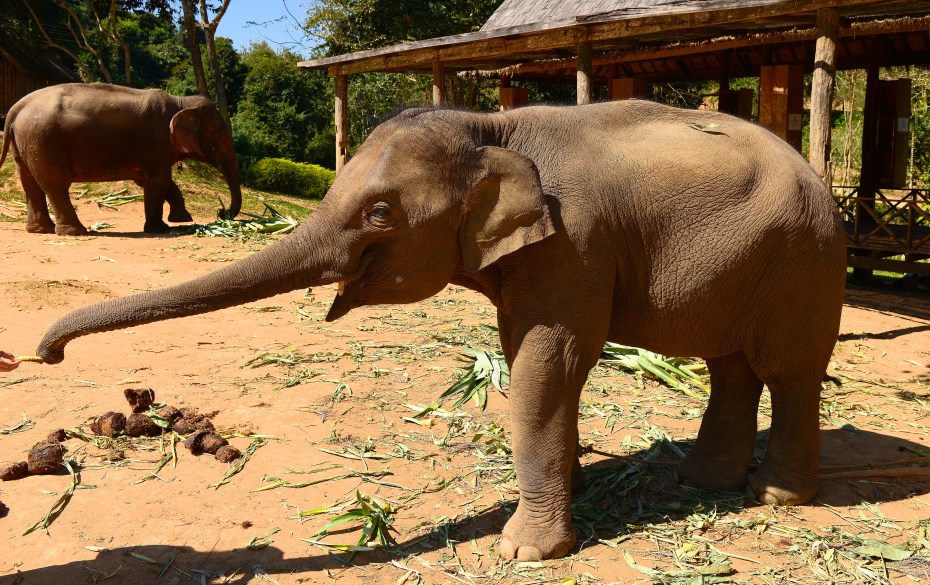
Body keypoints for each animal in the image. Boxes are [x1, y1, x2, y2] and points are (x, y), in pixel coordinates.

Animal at [0, 82, 241, 235]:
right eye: (220, 134)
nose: (221, 213)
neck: (180, 102)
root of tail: (17, 107)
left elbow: (152, 181)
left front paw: (182, 219)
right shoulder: (155, 141)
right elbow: (158, 181)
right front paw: (160, 229)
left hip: (25, 143)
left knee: (30, 184)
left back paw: (40, 230)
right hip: (43, 140)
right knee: (56, 184)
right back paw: (76, 232)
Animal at [36, 100, 847, 561]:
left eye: (380, 213)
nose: (47, 354)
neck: (490, 128)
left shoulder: (577, 244)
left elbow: (550, 362)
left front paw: (523, 552)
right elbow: (527, 355)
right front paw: (573, 488)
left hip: (804, 262)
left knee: (788, 371)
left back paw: (776, 498)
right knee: (730, 367)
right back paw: (701, 482)